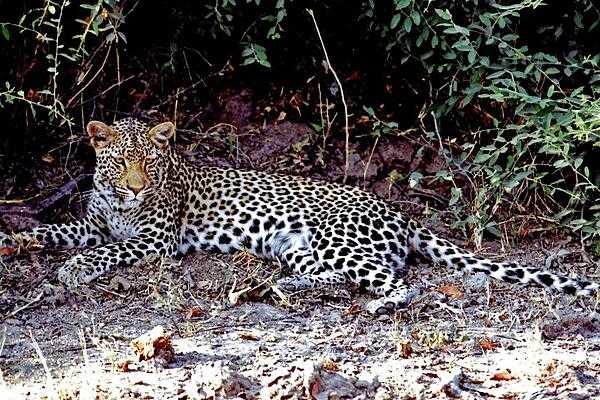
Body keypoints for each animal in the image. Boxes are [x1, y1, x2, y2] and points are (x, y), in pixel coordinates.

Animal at [0, 117, 596, 314]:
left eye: (150, 162)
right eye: (121, 160)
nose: (133, 187)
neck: (118, 203)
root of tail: (398, 212)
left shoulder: (153, 242)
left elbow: (108, 250)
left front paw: (74, 270)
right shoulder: (90, 222)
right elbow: (58, 229)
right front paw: (17, 239)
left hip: (340, 239)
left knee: (397, 282)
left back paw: (376, 304)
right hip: (300, 246)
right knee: (330, 276)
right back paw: (280, 287)